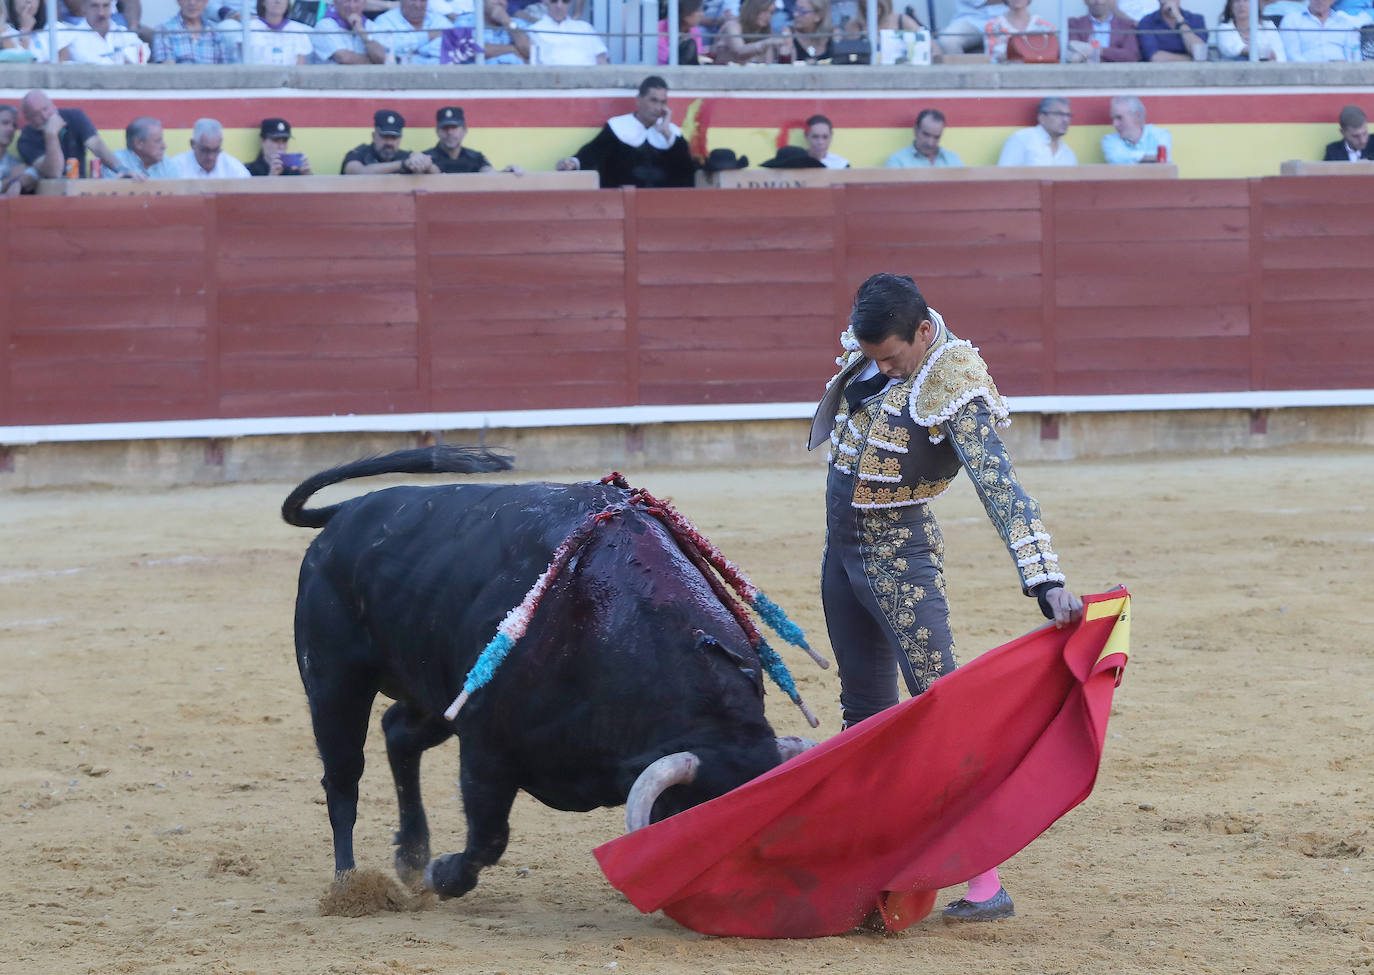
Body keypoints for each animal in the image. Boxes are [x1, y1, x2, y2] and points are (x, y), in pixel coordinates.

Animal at [284, 447, 802, 895]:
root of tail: (347, 512)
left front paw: (427, 866)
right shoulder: (486, 748)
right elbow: (488, 838)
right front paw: (442, 874)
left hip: (436, 688)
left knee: (398, 735)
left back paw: (410, 856)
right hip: (334, 681)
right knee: (343, 779)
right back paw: (349, 885)